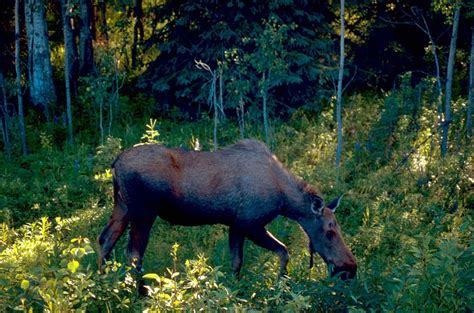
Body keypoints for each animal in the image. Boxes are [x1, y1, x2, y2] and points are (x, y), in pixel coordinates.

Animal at [98, 140, 358, 280]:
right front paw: (279, 284)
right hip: (143, 212)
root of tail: (115, 163)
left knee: (105, 239)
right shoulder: (248, 223)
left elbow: (237, 263)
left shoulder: (236, 226)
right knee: (133, 254)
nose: (350, 268)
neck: (285, 200)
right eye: (329, 231)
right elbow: (283, 251)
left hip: (122, 206)